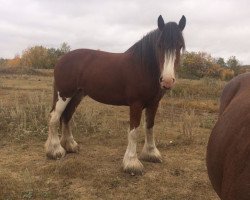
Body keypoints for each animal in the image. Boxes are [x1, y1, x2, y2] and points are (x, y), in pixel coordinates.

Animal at [44, 15, 186, 175]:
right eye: (159, 45)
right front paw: (132, 163)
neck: (142, 66)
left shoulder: (154, 103)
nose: (167, 81)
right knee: (54, 117)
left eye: (180, 46)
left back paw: (70, 146)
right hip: (64, 94)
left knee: (66, 116)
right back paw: (55, 151)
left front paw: (151, 154)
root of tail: (61, 59)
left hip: (77, 95)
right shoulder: (136, 104)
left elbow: (150, 127)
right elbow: (134, 132)